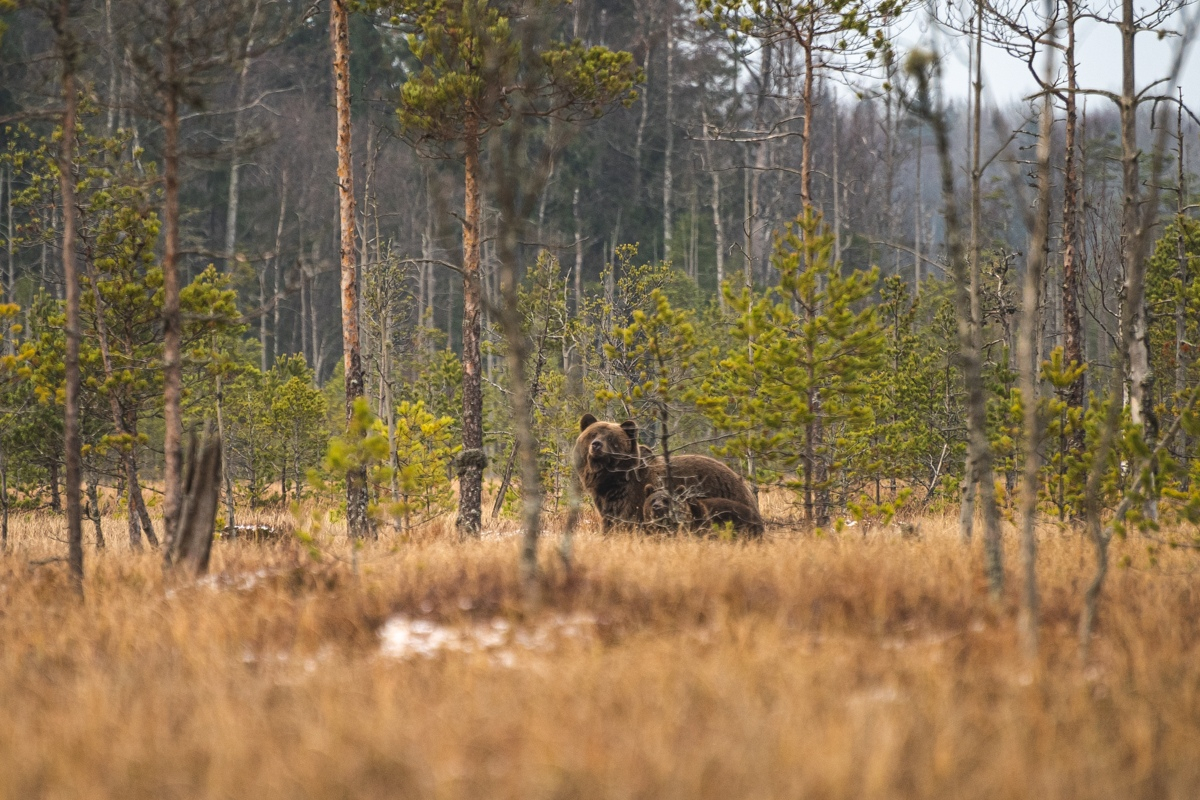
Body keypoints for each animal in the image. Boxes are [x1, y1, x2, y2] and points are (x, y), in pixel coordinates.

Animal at [573, 417, 758, 534]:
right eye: (592, 434)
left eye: (611, 438)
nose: (596, 445)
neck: (614, 480)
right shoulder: (608, 502)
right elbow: (610, 522)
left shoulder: (635, 496)